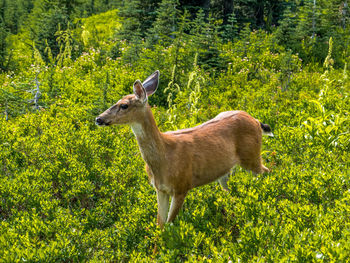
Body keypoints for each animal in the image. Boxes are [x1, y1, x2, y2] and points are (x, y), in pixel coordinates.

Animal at [95, 70, 274, 229]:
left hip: (251, 156)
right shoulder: (160, 189)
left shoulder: (182, 186)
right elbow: (160, 224)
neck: (164, 157)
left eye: (124, 105)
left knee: (267, 171)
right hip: (225, 171)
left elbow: (169, 224)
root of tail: (256, 120)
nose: (99, 119)